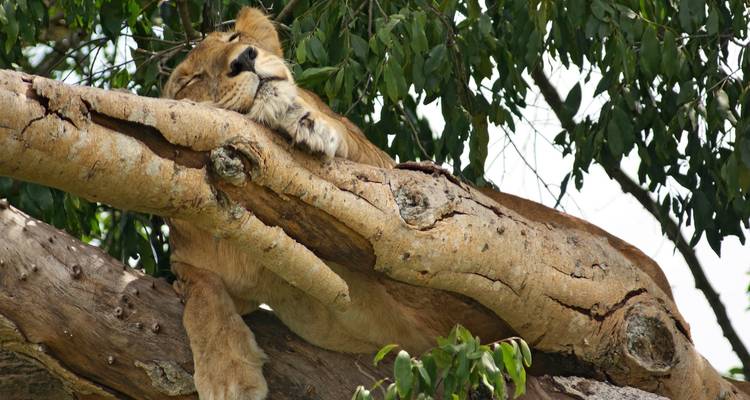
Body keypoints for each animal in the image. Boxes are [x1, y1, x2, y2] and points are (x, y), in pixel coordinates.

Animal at [163, 7, 674, 399]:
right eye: (190, 80)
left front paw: (298, 117)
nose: (246, 59)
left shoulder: (389, 177)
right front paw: (227, 374)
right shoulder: (204, 256)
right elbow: (198, 293)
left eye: (235, 38)